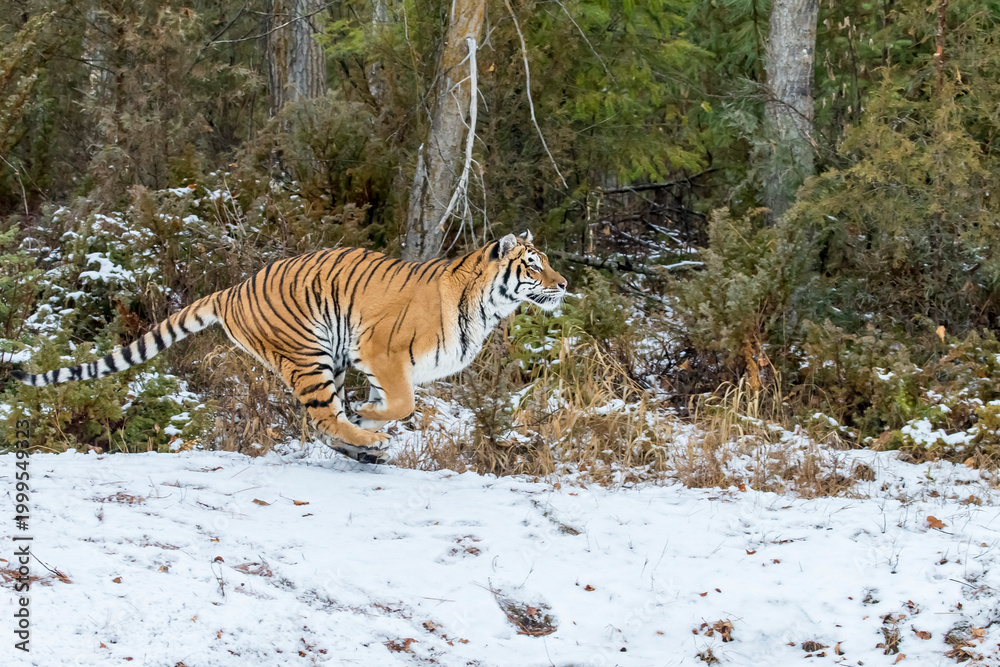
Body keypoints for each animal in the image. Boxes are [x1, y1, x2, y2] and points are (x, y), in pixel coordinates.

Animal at [12, 232, 567, 464]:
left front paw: (368, 415)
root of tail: (231, 289)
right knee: (322, 417)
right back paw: (366, 442)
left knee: (322, 422)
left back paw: (362, 445)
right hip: (310, 353)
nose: (563, 284)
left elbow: (393, 403)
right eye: (533, 265)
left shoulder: (373, 363)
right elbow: (403, 403)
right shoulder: (379, 351)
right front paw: (371, 418)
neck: (486, 308)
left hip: (327, 358)